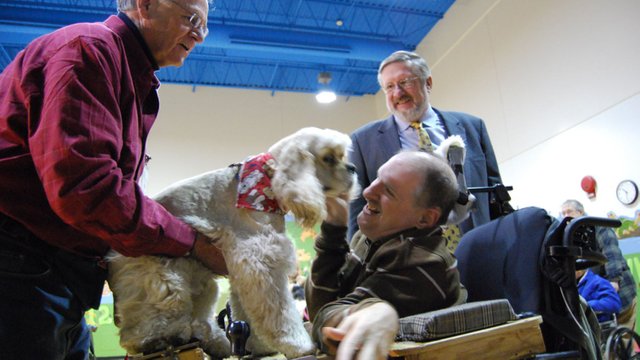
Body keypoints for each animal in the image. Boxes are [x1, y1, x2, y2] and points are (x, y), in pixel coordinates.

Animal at [110, 126, 360, 358]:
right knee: (141, 327)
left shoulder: (249, 268)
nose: (353, 168)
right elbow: (280, 314)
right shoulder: (260, 262)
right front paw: (297, 345)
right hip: (165, 278)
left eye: (343, 156)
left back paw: (215, 342)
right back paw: (161, 340)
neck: (268, 182)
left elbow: (249, 313)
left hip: (202, 283)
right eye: (329, 158)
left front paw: (258, 346)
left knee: (199, 319)